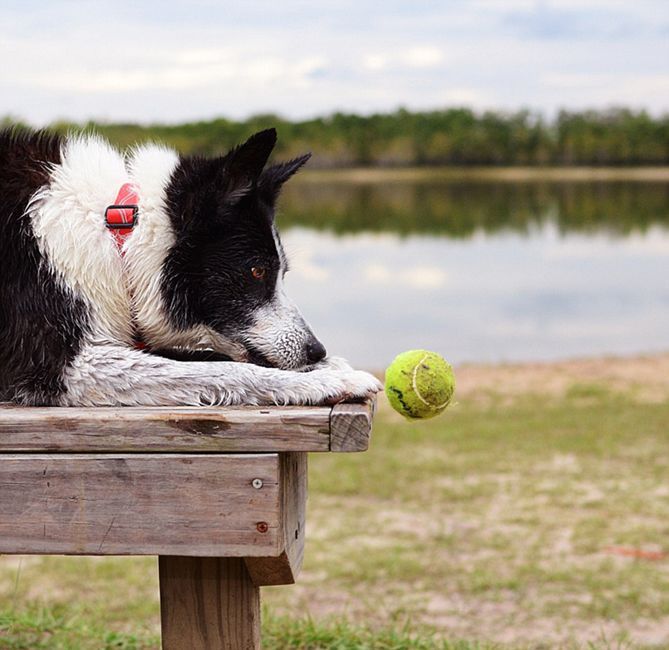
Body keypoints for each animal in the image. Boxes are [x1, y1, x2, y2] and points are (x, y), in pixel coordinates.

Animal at [0, 125, 380, 404]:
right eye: (256, 271)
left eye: (282, 273)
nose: (316, 351)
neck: (117, 230)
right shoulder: (59, 367)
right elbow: (227, 371)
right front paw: (334, 378)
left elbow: (205, 358)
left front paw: (329, 366)